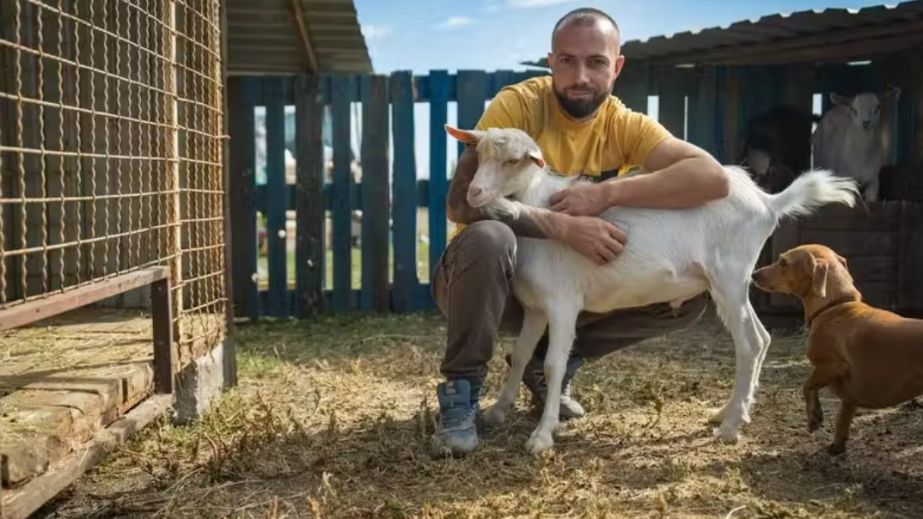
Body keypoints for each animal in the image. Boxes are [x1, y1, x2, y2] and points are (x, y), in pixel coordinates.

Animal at [756, 244, 923, 456]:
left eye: (783, 262)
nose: (753, 274)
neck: (835, 306)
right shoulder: (849, 399)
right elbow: (842, 421)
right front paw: (836, 447)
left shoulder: (831, 366)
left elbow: (807, 386)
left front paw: (814, 417)